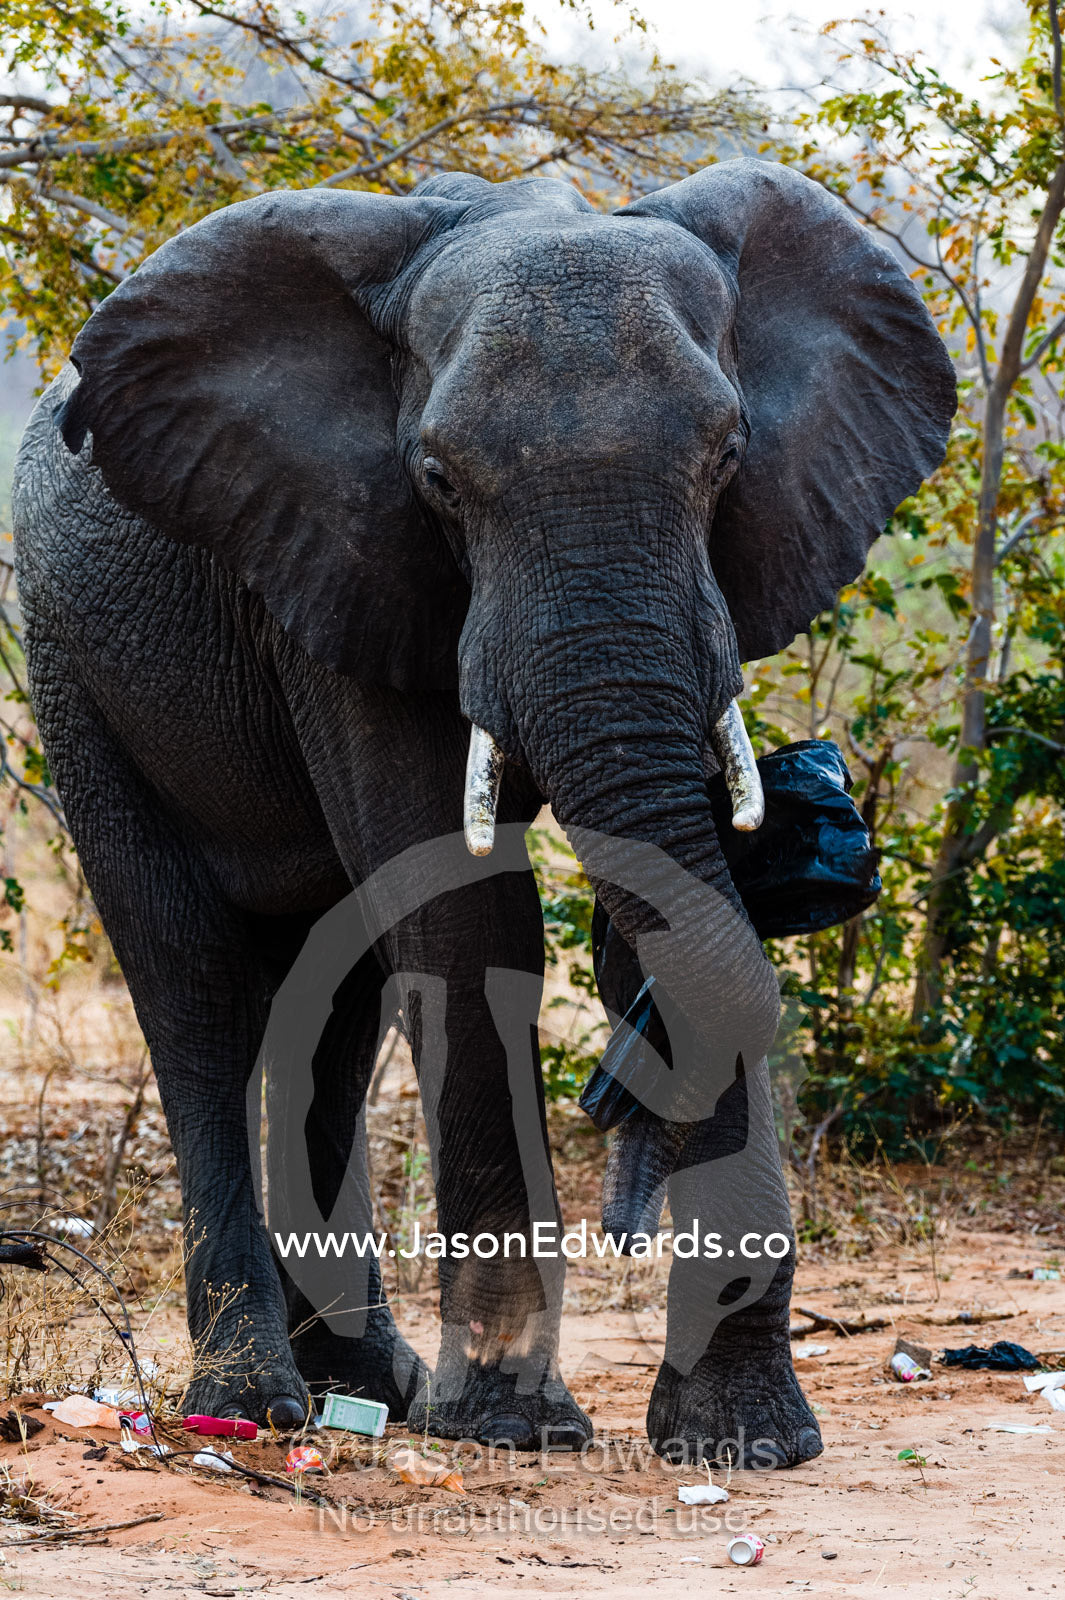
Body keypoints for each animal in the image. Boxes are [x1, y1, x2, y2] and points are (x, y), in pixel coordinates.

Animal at [12, 158, 955, 1465]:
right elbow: (467, 919)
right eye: (438, 482)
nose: (625, 1204)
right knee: (195, 989)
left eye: (728, 456)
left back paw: (371, 1381)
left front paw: (744, 1445)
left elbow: (676, 891)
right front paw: (515, 1427)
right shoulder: (343, 552)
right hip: (75, 674)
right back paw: (254, 1402)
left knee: (336, 1014)